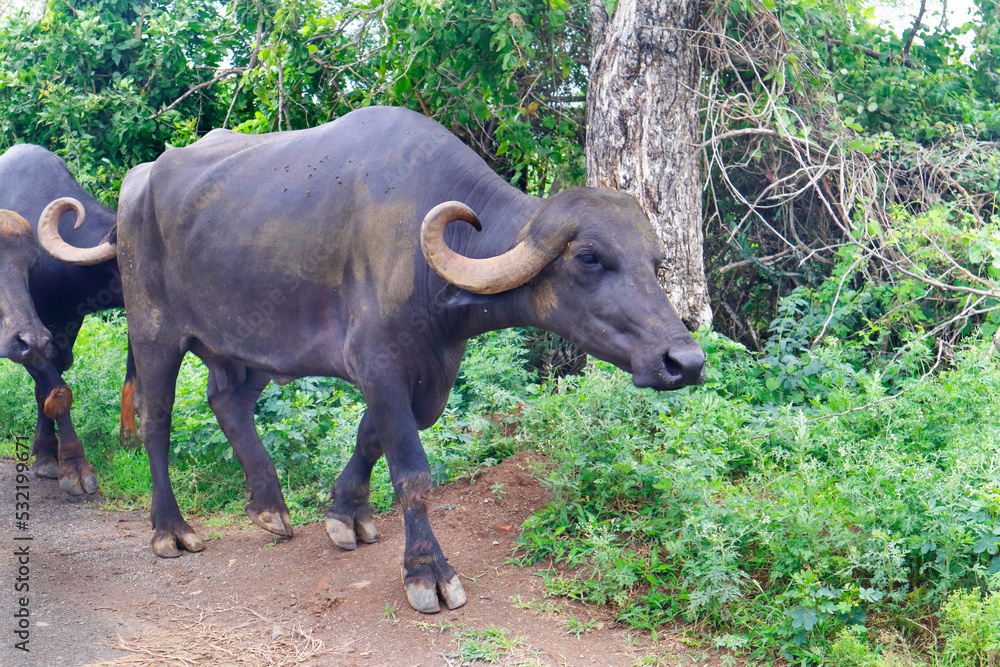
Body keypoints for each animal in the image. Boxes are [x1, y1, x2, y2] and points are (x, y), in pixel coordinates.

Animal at [0, 144, 138, 496]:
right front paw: (75, 467)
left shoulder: (62, 329)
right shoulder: (25, 337)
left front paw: (46, 455)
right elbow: (58, 392)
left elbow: (45, 390)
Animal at [40, 106, 705, 613]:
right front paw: (427, 571)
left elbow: (370, 439)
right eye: (589, 257)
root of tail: (137, 185)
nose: (687, 361)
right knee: (156, 420)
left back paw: (270, 508)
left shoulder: (429, 371)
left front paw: (345, 512)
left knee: (227, 401)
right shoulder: (378, 361)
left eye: (655, 262)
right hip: (154, 329)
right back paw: (171, 530)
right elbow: (411, 470)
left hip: (250, 342)